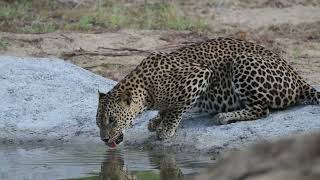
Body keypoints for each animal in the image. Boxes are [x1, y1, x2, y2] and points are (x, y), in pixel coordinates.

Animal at [95, 37, 320, 147]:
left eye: (112, 120)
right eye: (99, 123)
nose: (104, 140)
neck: (146, 89)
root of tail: (298, 77)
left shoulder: (199, 74)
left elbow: (177, 107)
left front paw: (166, 128)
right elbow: (166, 109)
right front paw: (157, 120)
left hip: (242, 61)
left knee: (261, 110)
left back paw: (225, 116)